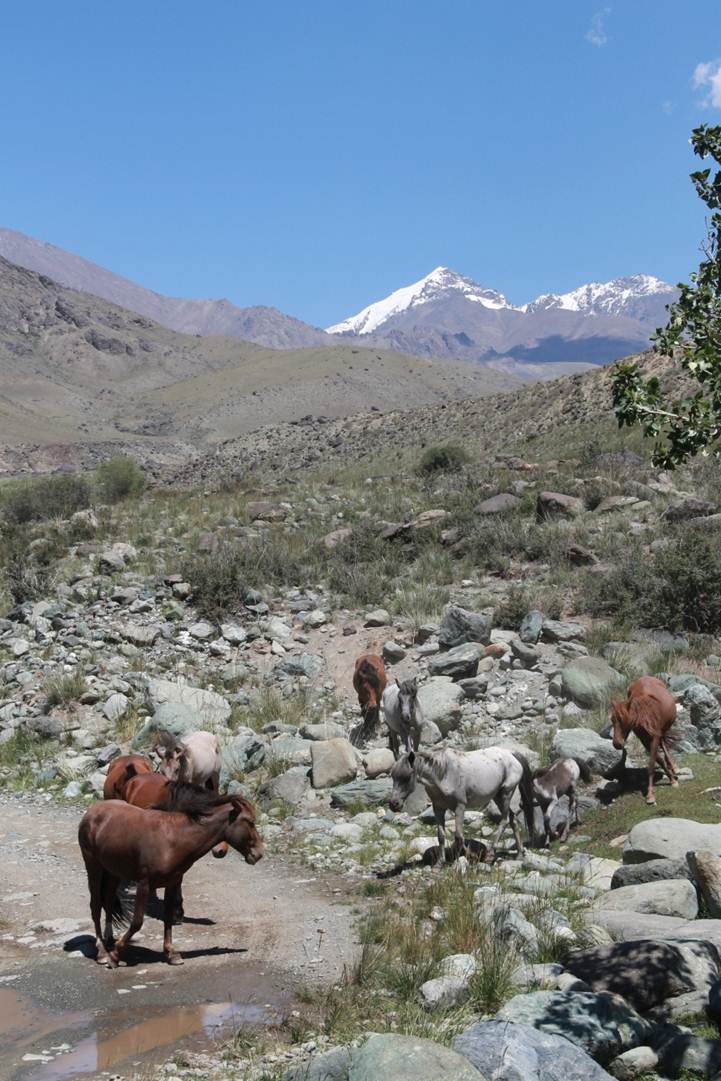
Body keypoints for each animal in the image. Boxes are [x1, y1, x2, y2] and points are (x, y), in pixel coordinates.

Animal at [77, 791, 263, 968]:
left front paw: (171, 953)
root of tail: (93, 811)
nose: (259, 853)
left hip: (114, 872)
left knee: (107, 901)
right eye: (250, 822)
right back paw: (102, 952)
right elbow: (137, 922)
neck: (173, 839)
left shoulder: (172, 883)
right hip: (94, 867)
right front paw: (115, 956)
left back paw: (109, 939)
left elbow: (168, 918)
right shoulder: (144, 884)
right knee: (95, 906)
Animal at [389, 743, 536, 860]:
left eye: (407, 777)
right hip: (498, 797)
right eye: (393, 776)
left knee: (504, 820)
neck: (443, 773)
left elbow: (459, 836)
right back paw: (519, 854)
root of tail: (512, 754)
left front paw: (469, 856)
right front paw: (440, 862)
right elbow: (441, 835)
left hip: (505, 795)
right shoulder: (438, 808)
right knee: (513, 819)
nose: (393, 804)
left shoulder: (460, 807)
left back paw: (490, 854)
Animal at [613, 674, 678, 804]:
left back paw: (673, 766)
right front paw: (670, 778)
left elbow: (652, 765)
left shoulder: (654, 738)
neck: (645, 713)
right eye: (612, 720)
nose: (617, 744)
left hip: (662, 730)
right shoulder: (645, 740)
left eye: (624, 721)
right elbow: (658, 761)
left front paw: (650, 794)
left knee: (665, 745)